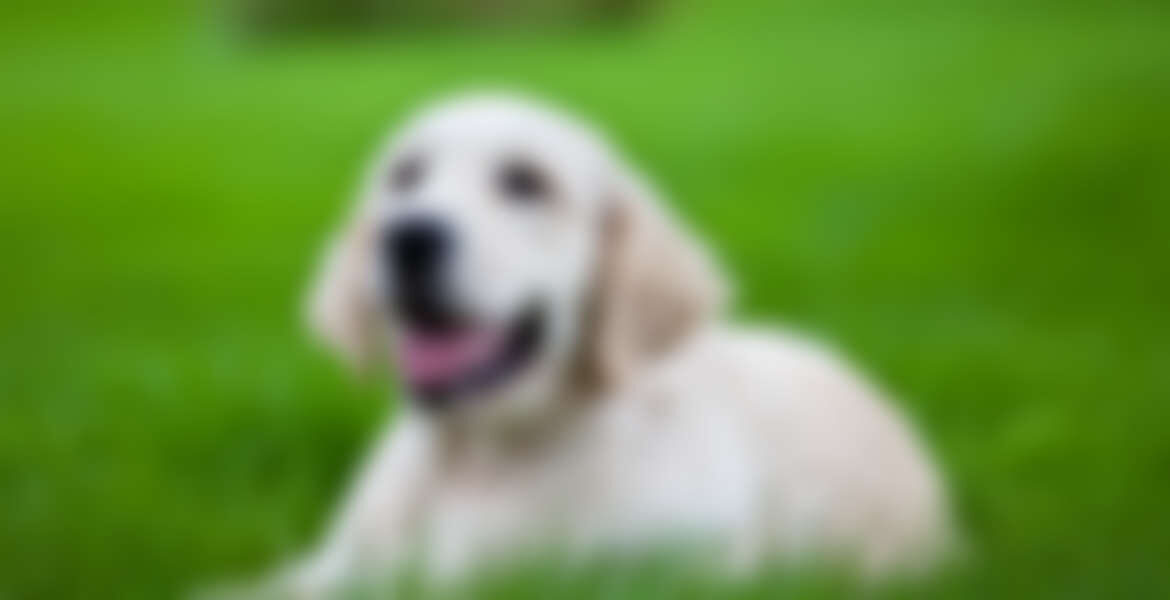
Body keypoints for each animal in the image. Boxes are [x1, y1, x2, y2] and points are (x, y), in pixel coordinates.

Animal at [287, 93, 954, 594]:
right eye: (403, 176)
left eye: (527, 182)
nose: (407, 237)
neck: (484, 457)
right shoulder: (340, 569)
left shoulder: (682, 568)